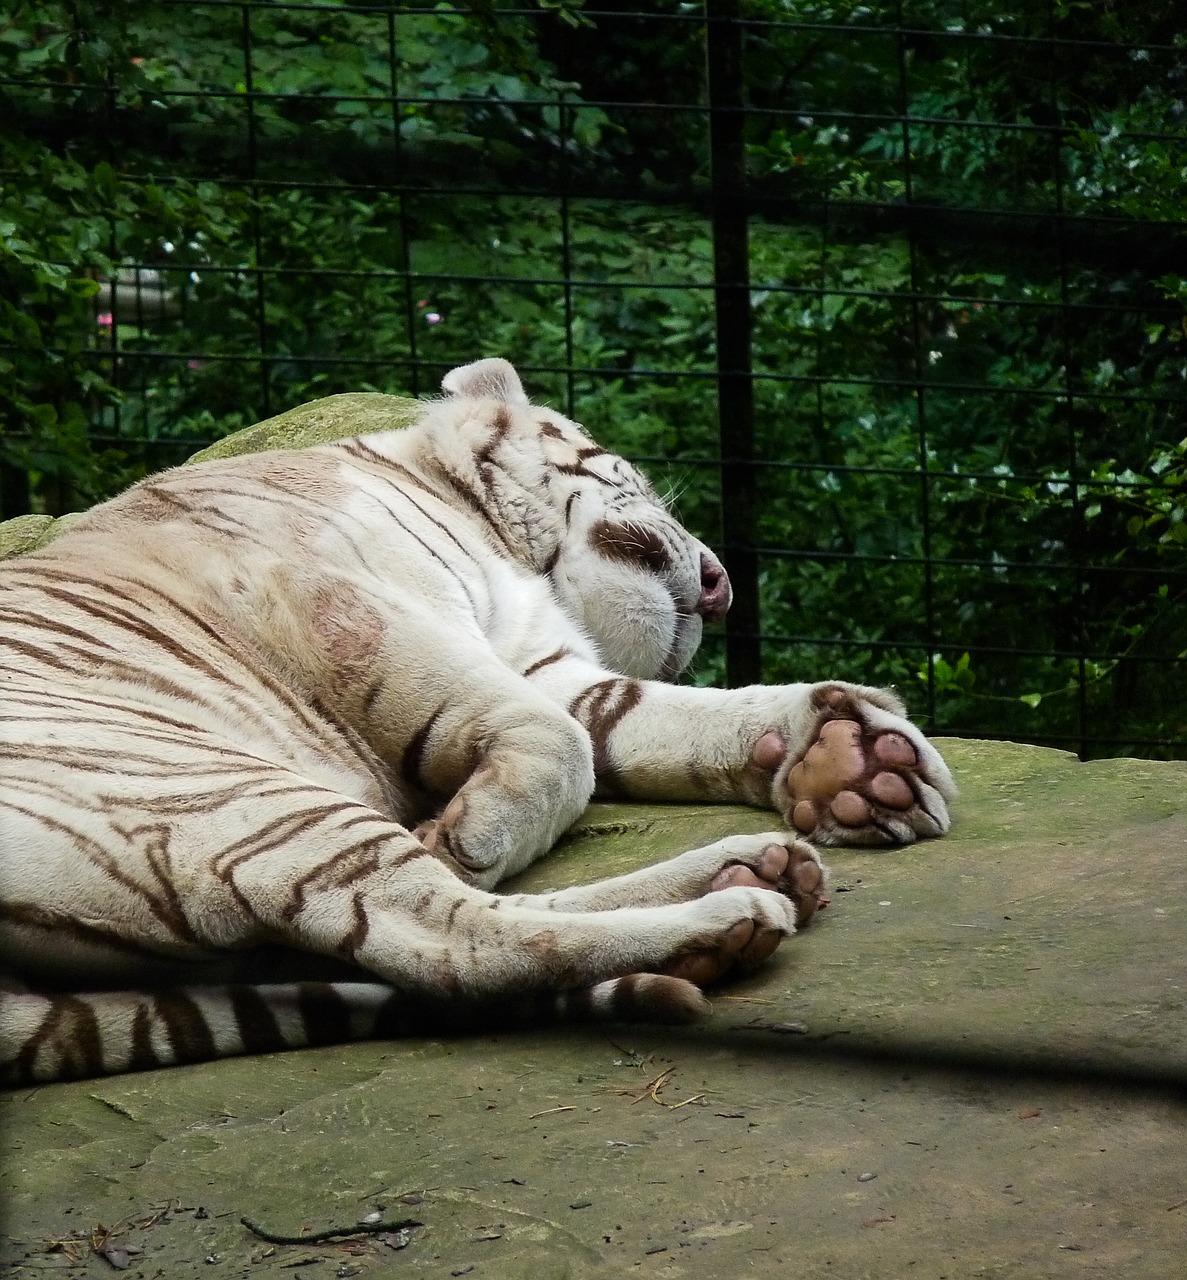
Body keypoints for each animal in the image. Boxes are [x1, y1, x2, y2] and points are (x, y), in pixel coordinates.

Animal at [0, 358, 952, 1080]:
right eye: (632, 475)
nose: (718, 586)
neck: (496, 538)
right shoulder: (340, 600)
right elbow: (561, 750)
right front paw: (463, 834)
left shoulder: (541, 664)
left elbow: (649, 720)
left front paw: (859, 761)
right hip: (217, 792)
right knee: (455, 941)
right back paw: (725, 916)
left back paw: (751, 871)